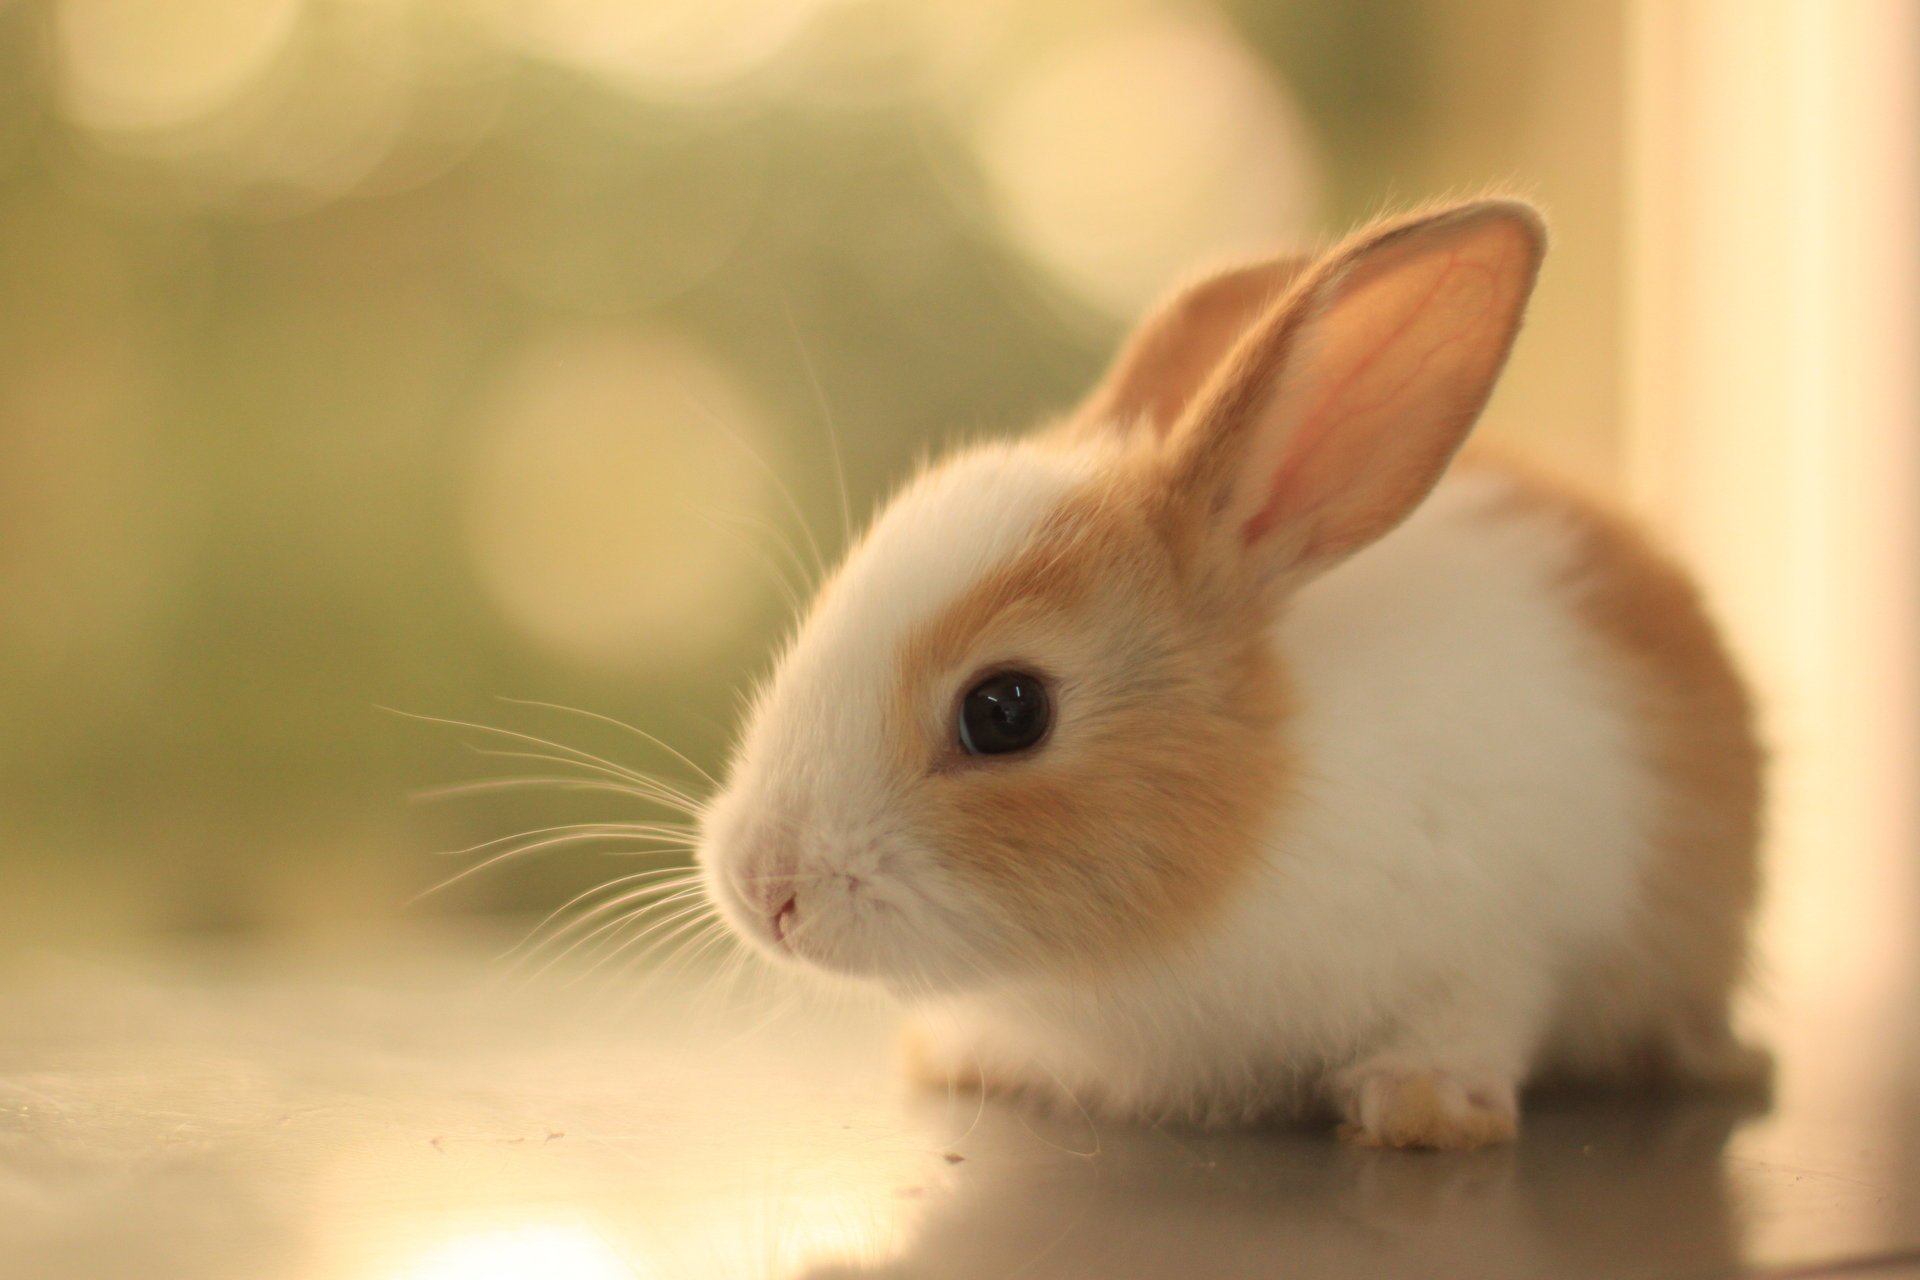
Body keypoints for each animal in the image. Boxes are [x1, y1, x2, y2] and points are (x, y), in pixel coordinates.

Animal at [695, 198, 1767, 1149]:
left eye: (1006, 711)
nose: (764, 887)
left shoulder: (1502, 938)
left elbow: (1473, 1016)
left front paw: (1421, 1107)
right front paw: (962, 1056)